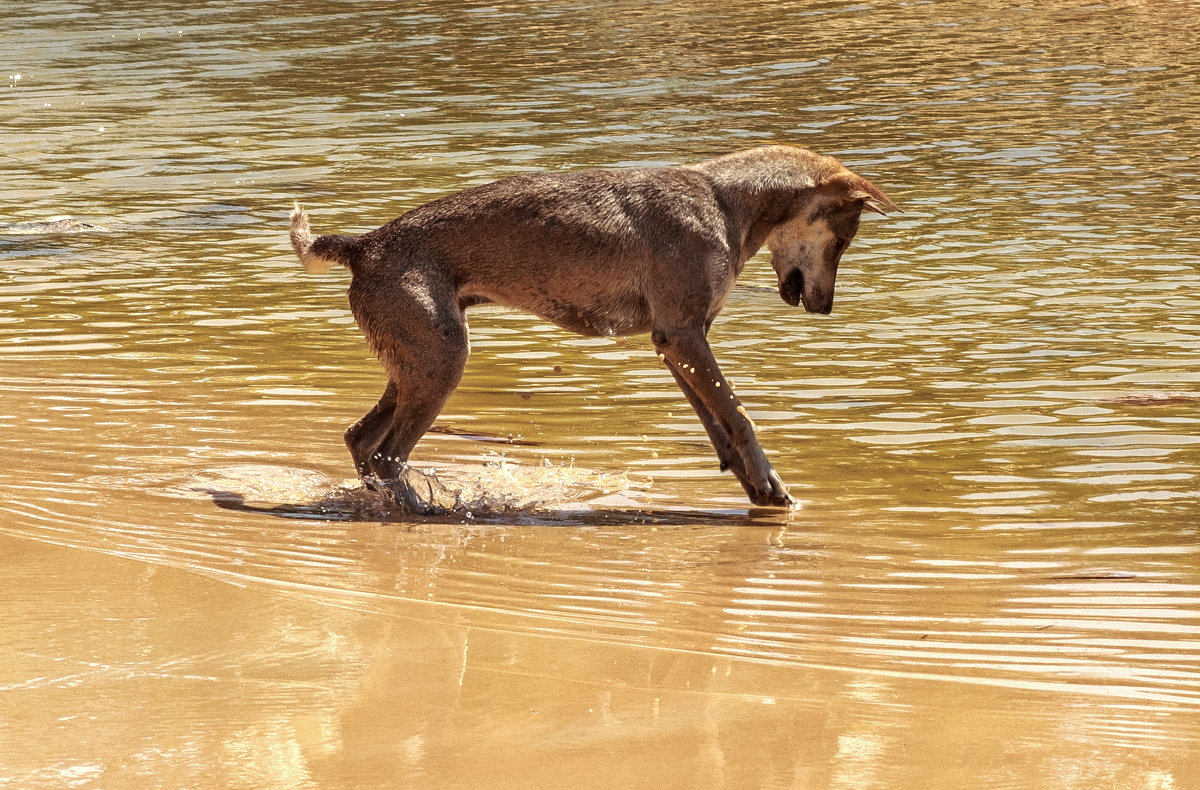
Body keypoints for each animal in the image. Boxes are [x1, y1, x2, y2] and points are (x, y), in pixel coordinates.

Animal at [288, 144, 892, 506]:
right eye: (845, 239)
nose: (826, 308)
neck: (726, 200)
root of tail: (364, 245)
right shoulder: (685, 336)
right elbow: (739, 416)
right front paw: (769, 482)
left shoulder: (675, 343)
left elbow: (718, 422)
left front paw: (754, 485)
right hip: (441, 364)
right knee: (386, 454)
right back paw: (419, 510)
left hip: (417, 364)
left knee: (361, 440)